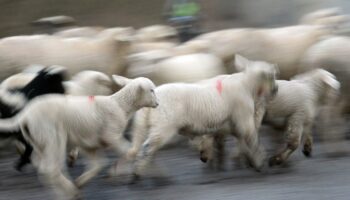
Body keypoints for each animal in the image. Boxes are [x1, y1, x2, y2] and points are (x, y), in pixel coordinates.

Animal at [0, 75, 157, 198]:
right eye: (151, 90)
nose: (157, 103)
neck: (120, 106)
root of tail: (25, 115)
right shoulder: (110, 135)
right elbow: (129, 151)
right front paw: (123, 172)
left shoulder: (89, 143)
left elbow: (98, 164)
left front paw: (82, 182)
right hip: (52, 136)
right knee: (50, 168)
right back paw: (69, 192)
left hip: (38, 140)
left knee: (43, 167)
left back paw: (67, 189)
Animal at [127, 54, 278, 180]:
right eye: (271, 75)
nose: (275, 90)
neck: (247, 86)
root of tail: (151, 97)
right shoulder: (243, 118)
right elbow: (252, 140)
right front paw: (259, 162)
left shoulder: (231, 124)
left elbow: (237, 141)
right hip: (164, 125)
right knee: (147, 148)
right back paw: (137, 174)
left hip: (148, 125)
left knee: (146, 148)